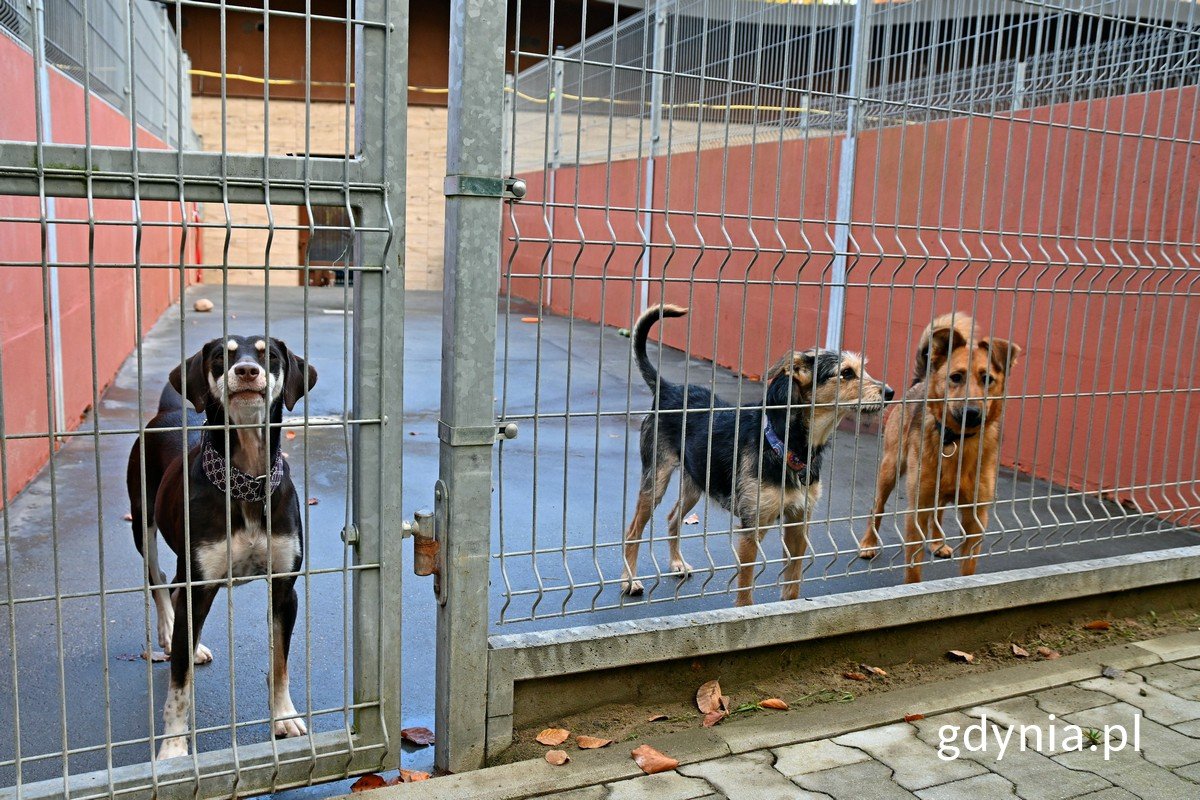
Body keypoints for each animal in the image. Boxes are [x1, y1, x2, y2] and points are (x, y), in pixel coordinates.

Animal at [127, 335, 316, 762]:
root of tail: (169, 410)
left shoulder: (285, 588)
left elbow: (280, 663)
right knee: (158, 579)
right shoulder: (199, 585)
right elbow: (179, 687)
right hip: (142, 523)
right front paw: (174, 748)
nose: (246, 371)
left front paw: (284, 717)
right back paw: (170, 633)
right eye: (219, 357)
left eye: (269, 355)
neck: (245, 482)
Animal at [619, 307, 892, 606]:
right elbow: (745, 589)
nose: (890, 392)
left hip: (696, 482)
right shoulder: (752, 528)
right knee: (632, 532)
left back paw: (677, 563)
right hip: (655, 481)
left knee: (672, 518)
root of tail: (668, 389)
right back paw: (630, 581)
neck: (786, 443)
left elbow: (793, 583)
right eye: (846, 373)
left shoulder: (798, 522)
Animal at [854, 311, 1022, 582]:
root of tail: (920, 381)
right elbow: (913, 569)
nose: (972, 413)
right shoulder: (917, 509)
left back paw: (936, 542)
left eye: (988, 379)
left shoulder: (976, 517)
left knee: (940, 511)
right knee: (877, 507)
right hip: (890, 469)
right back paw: (869, 543)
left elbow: (968, 568)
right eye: (955, 377)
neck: (957, 441)